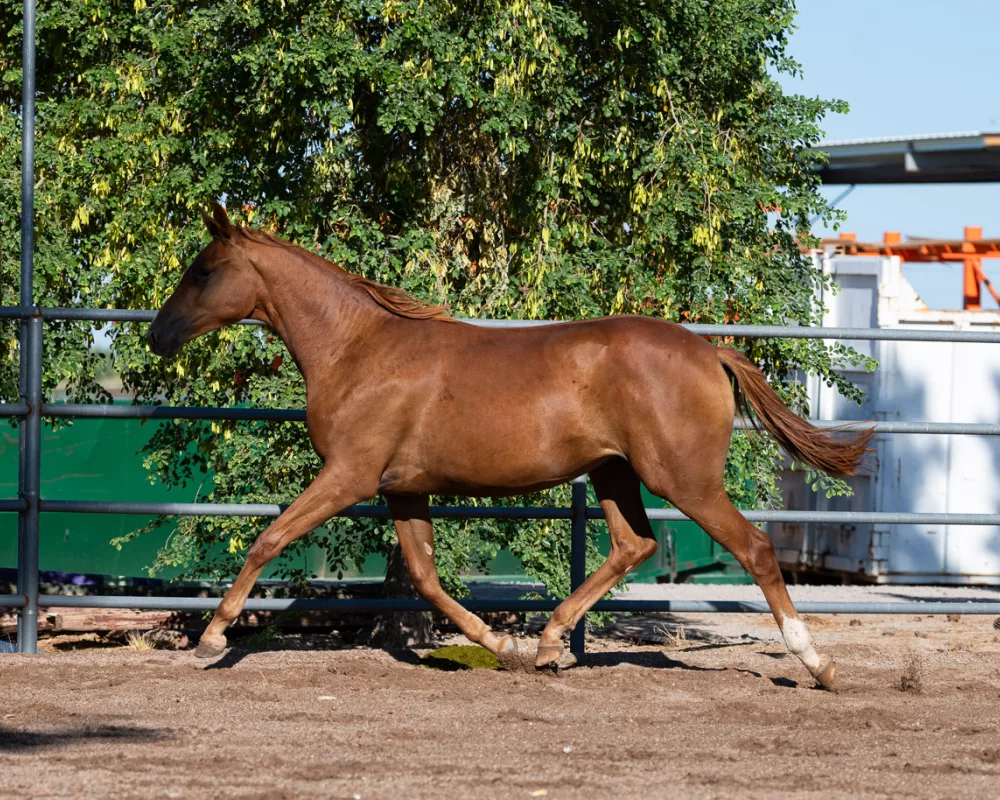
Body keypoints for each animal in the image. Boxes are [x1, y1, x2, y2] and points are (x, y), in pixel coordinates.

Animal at [145, 205, 872, 688]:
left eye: (204, 271)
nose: (156, 335)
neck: (357, 350)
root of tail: (709, 350)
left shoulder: (348, 475)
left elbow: (268, 539)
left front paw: (210, 638)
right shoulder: (403, 489)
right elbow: (427, 579)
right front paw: (499, 643)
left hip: (682, 480)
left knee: (754, 547)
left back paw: (817, 664)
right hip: (613, 474)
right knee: (632, 545)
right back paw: (547, 644)